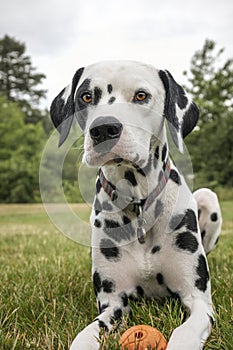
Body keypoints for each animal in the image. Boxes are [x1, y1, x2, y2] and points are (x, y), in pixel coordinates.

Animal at [49, 61, 220, 348]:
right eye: (86, 96)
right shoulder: (113, 304)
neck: (139, 202)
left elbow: (184, 332)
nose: (103, 129)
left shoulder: (198, 301)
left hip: (209, 197)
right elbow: (85, 336)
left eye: (141, 95)